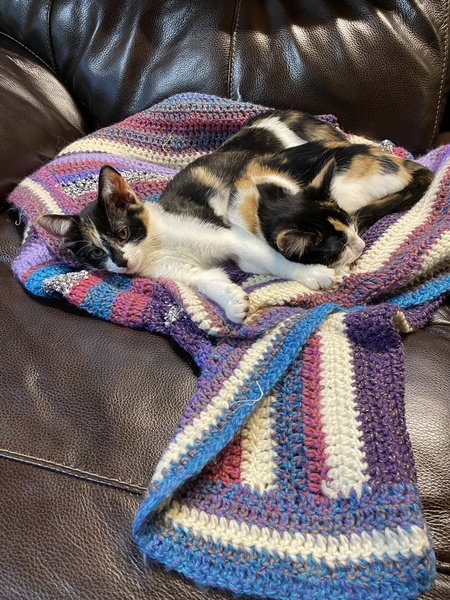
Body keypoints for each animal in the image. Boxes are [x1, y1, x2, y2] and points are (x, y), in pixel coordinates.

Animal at [38, 110, 433, 323]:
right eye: (95, 253)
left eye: (122, 233)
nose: (120, 262)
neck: (156, 244)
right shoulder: (182, 271)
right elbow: (209, 281)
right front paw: (232, 301)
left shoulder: (231, 236)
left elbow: (274, 259)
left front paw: (315, 275)